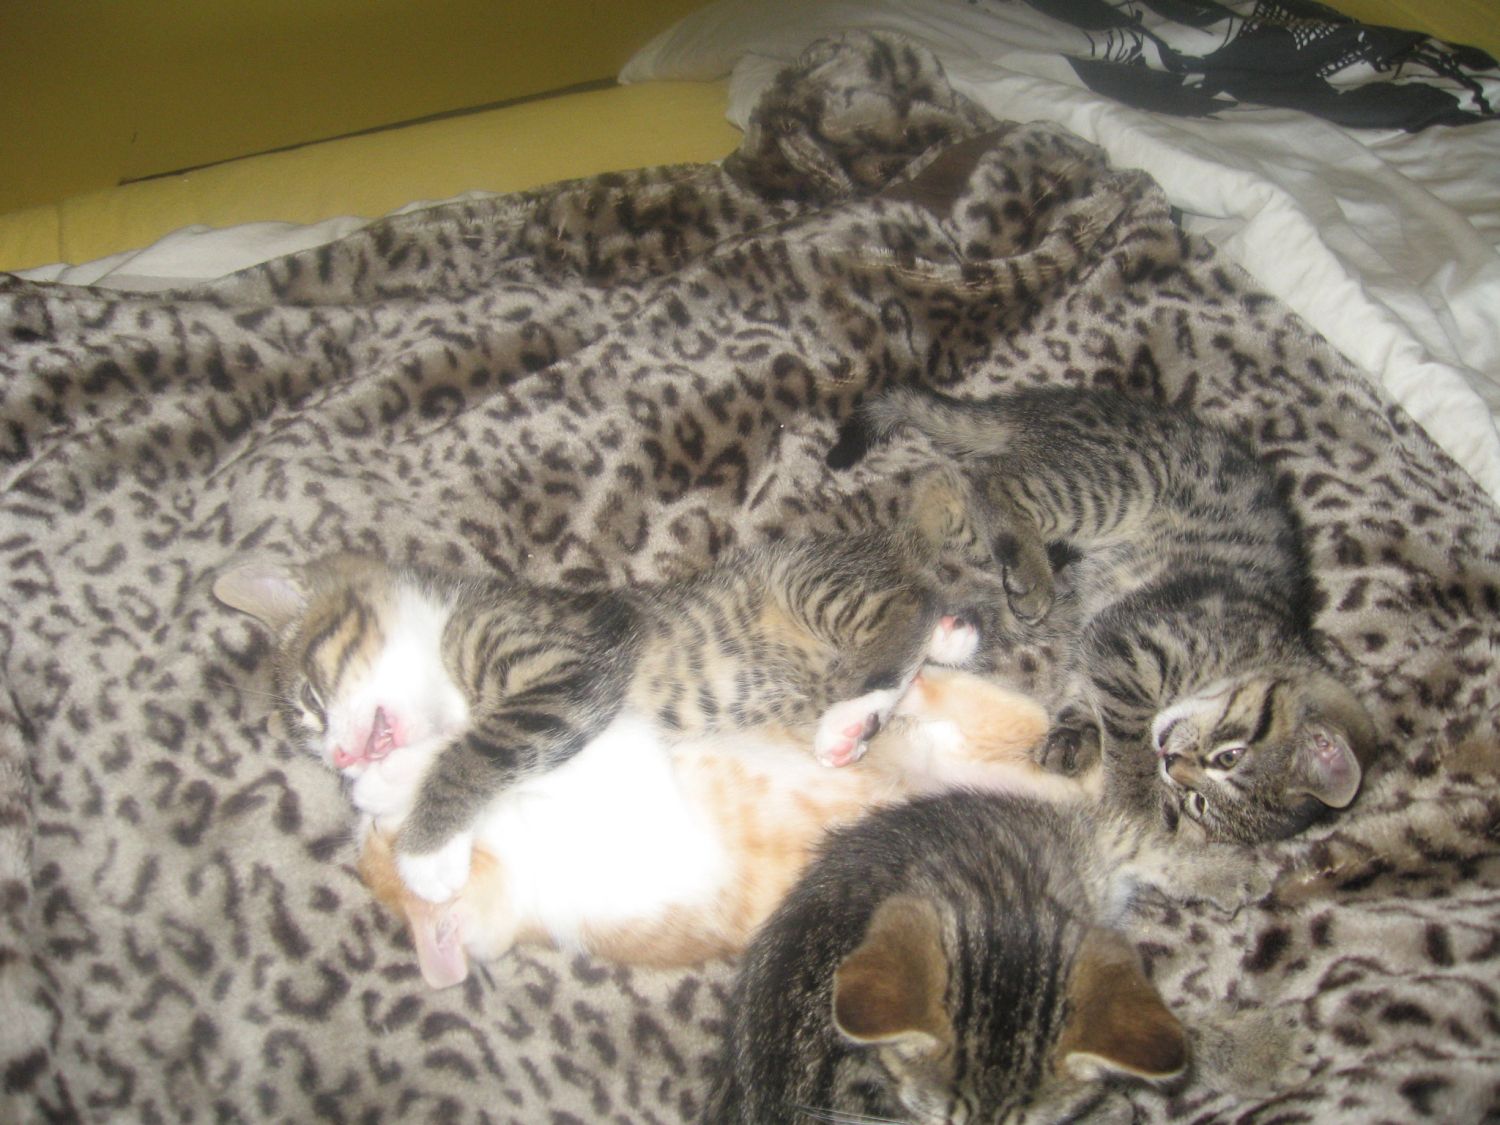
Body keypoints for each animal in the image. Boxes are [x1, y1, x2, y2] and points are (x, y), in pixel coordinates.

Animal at [212, 489, 997, 903]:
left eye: (311, 702)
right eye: (314, 741)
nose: (340, 757)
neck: (442, 639)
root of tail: (884, 544)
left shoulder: (573, 661)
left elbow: (482, 747)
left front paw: (425, 851)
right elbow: (469, 745)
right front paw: (384, 785)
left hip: (805, 581)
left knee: (906, 606)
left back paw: (853, 711)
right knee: (924, 608)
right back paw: (949, 640)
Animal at [356, 667, 1092, 988]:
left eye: (370, 842)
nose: (358, 822)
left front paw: (387, 766)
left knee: (1022, 717)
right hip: (973, 753)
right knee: (1032, 728)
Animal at [832, 384, 1376, 845]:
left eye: (1197, 802)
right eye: (1231, 755)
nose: (1172, 762)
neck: (1260, 646)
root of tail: (1067, 404)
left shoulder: (1104, 647)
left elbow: (1083, 694)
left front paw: (1075, 737)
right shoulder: (1135, 637)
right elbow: (1128, 729)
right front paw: (1135, 797)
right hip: (1112, 483)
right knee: (993, 482)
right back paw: (1031, 573)